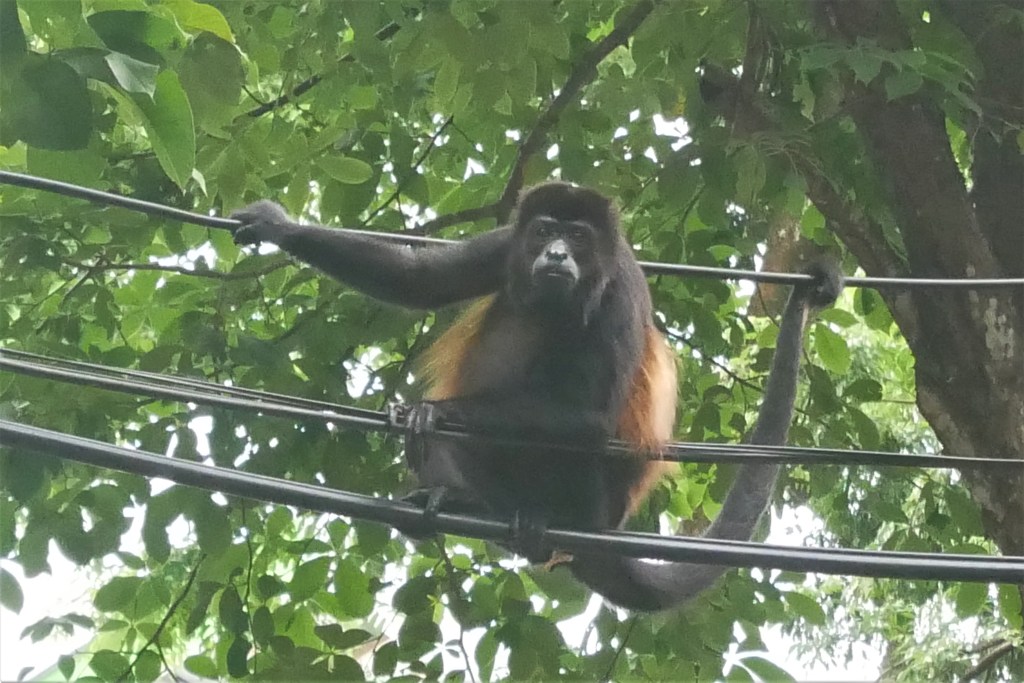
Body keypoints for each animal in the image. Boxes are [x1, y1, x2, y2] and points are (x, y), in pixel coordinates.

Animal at [230, 182, 843, 611]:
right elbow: (422, 281)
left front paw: (432, 410)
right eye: (547, 230)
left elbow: (593, 418)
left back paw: (530, 519)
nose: (555, 254)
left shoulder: (620, 286)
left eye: (579, 238)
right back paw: (463, 503)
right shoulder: (506, 244)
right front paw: (279, 226)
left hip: (590, 498)